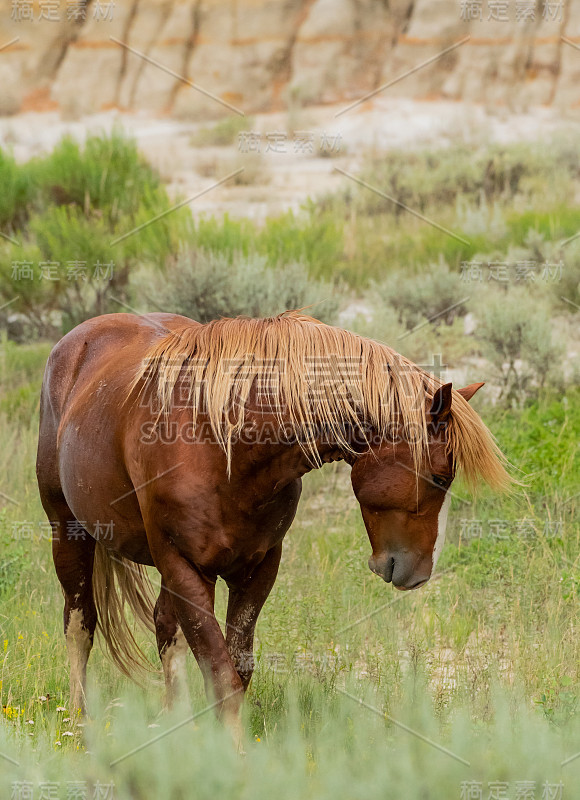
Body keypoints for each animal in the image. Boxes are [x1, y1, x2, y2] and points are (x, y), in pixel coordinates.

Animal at [35, 310, 508, 748]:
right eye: (440, 477)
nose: (419, 573)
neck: (223, 445)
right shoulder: (185, 566)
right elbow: (220, 672)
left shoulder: (256, 569)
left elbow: (238, 668)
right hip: (70, 532)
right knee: (80, 624)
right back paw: (78, 723)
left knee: (164, 627)